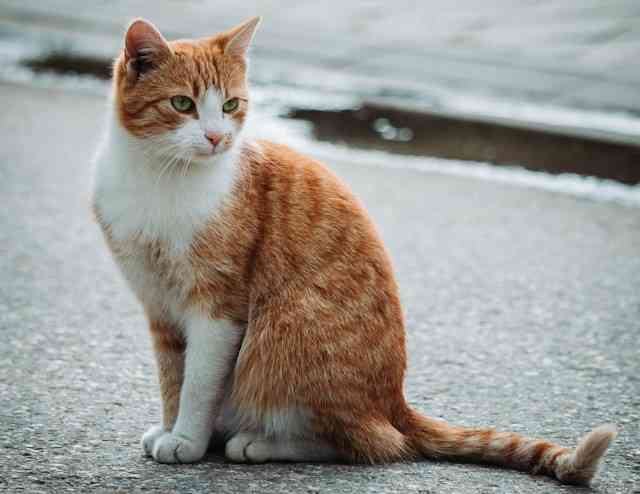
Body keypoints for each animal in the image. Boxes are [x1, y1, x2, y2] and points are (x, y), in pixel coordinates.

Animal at [92, 16, 616, 486]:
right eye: (182, 104)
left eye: (231, 105)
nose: (218, 138)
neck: (162, 177)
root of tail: (393, 401)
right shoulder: (159, 305)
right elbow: (172, 377)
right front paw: (170, 427)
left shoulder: (217, 310)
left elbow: (198, 383)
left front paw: (188, 440)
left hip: (285, 328)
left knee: (370, 443)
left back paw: (260, 442)